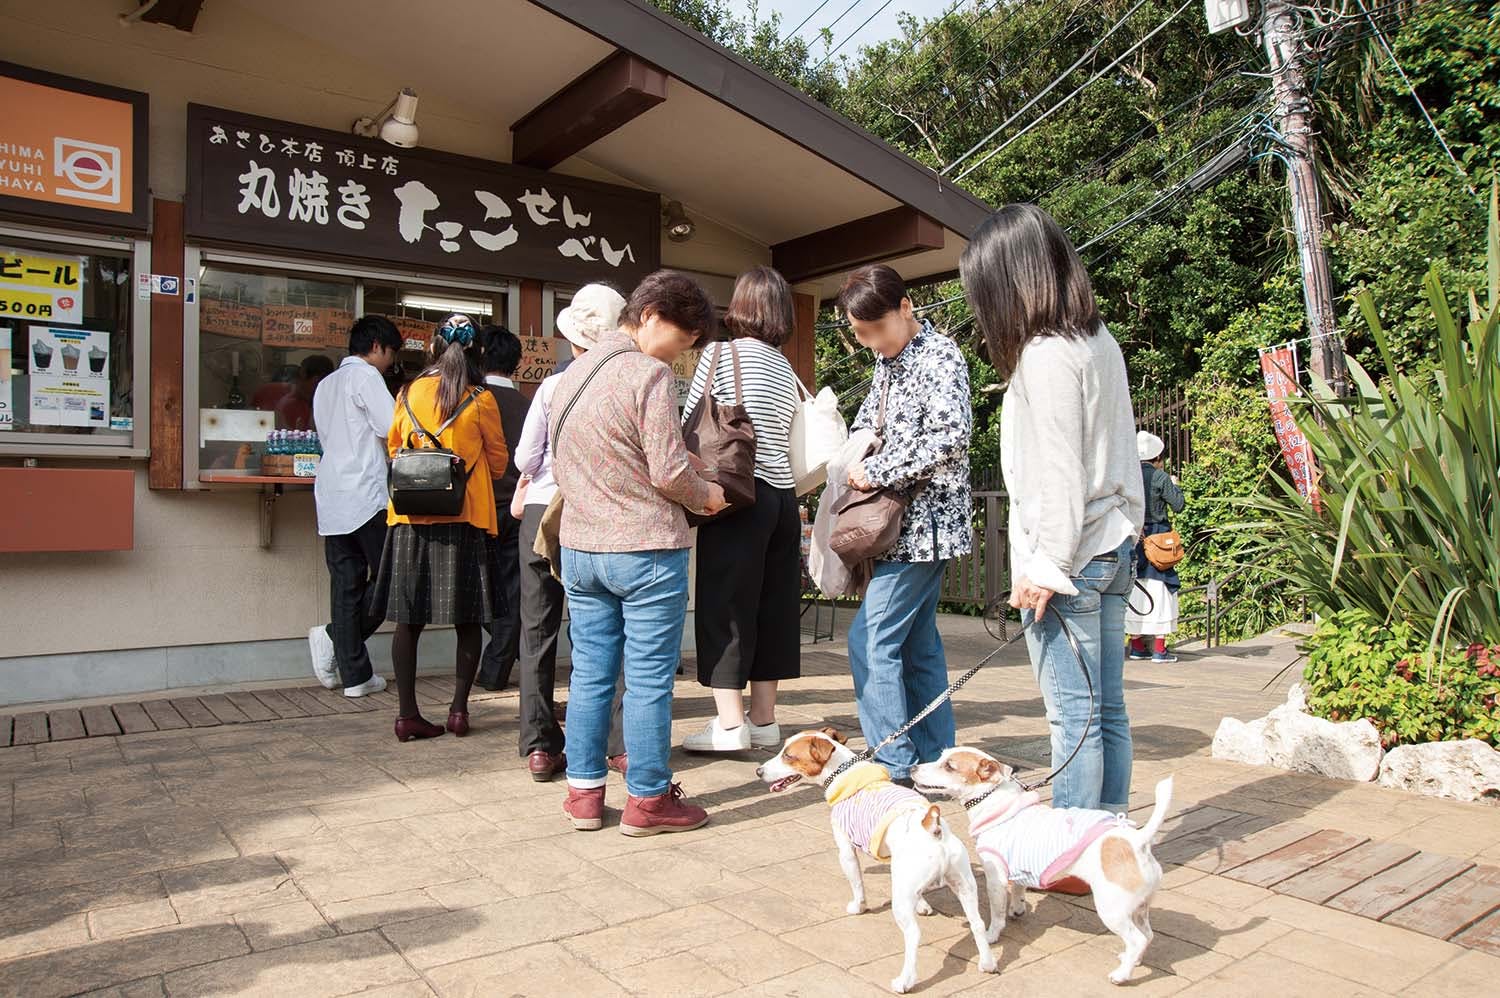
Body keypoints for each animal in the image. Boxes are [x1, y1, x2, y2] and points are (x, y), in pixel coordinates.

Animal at [762, 729, 996, 990]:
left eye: (788, 756)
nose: (758, 771)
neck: (843, 773)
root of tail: (932, 828)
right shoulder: (900, 866)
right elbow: (920, 895)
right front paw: (923, 905)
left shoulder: (845, 849)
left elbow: (857, 884)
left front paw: (858, 907)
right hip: (964, 884)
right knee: (977, 923)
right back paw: (987, 964)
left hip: (903, 901)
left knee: (913, 935)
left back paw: (905, 981)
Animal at [912, 747, 1170, 978]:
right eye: (940, 756)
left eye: (949, 766)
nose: (913, 767)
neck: (995, 802)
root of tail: (1138, 841)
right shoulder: (1016, 868)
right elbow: (1018, 890)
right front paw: (1017, 909)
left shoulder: (995, 877)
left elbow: (996, 912)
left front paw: (992, 934)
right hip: (1139, 908)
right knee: (1148, 936)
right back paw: (1132, 961)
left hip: (1112, 909)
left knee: (1137, 939)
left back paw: (1121, 975)